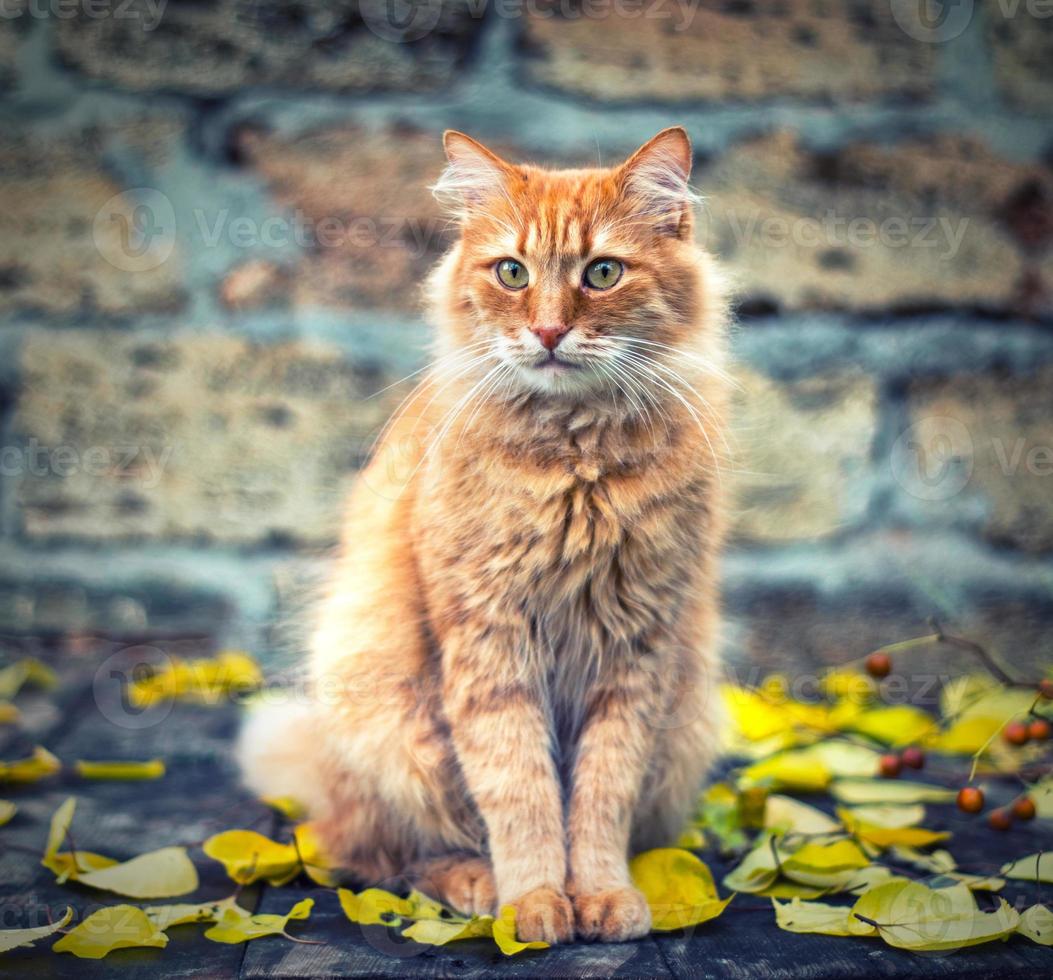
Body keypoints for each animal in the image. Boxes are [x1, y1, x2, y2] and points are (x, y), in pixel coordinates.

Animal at [241, 126, 732, 947]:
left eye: (602, 273)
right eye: (512, 272)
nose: (548, 330)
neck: (575, 462)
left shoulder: (636, 653)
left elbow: (598, 800)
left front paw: (602, 897)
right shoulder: (489, 640)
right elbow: (521, 792)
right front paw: (532, 904)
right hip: (388, 722)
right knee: (383, 857)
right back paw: (473, 885)